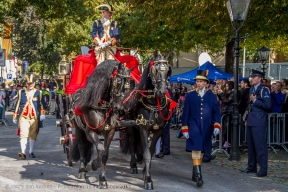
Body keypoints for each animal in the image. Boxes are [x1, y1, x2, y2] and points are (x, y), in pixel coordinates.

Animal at [70, 60, 131, 188]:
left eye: (127, 85)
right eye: (117, 82)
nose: (118, 107)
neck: (102, 107)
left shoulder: (110, 132)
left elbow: (105, 154)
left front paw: (102, 179)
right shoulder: (90, 132)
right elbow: (100, 148)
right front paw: (93, 165)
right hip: (79, 129)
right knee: (82, 146)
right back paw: (82, 170)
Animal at [122, 50, 173, 189]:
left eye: (168, 70)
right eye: (154, 70)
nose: (161, 91)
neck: (154, 104)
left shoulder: (158, 130)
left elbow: (150, 151)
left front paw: (146, 172)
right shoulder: (143, 129)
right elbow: (146, 154)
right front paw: (148, 180)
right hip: (130, 126)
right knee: (132, 143)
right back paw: (133, 165)